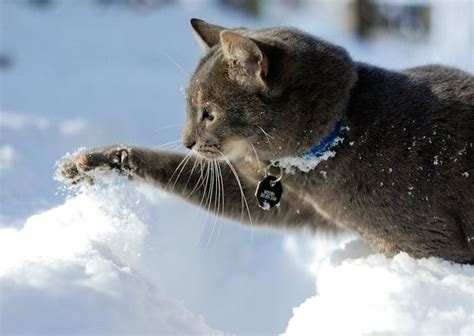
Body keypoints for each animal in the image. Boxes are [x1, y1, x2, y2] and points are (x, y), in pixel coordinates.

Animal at [59, 19, 474, 266]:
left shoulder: (436, 248)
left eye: (209, 113)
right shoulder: (281, 198)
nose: (187, 141)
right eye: (189, 106)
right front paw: (91, 161)